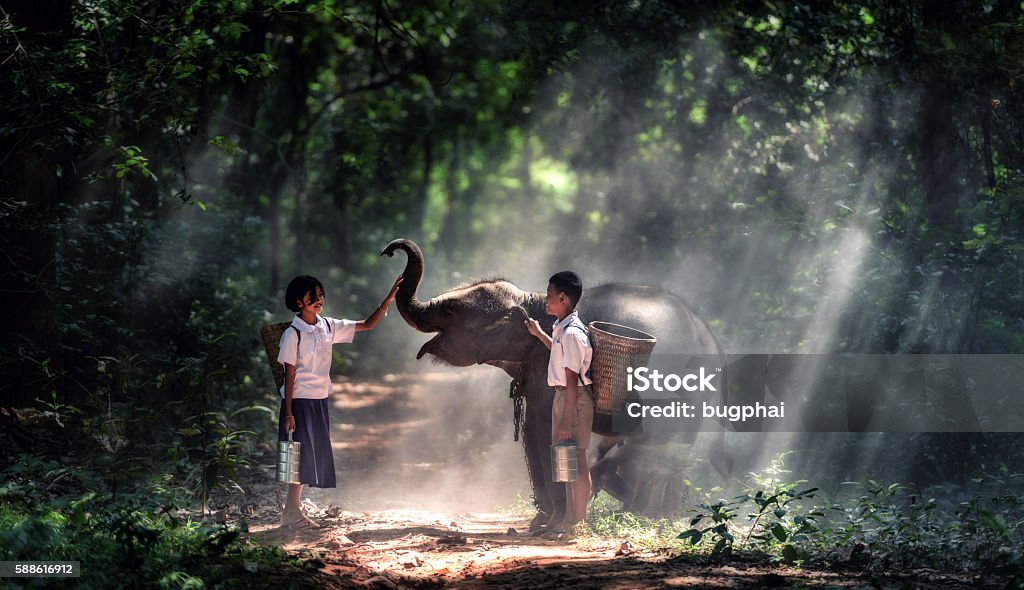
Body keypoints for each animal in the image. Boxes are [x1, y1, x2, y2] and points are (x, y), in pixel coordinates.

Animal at [382, 237, 729, 528]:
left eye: (450, 311)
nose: (389, 251)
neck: (531, 299)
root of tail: (706, 329)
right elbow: (532, 430)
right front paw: (541, 523)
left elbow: (548, 429)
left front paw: (553, 522)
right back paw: (653, 514)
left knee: (661, 446)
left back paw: (648, 516)